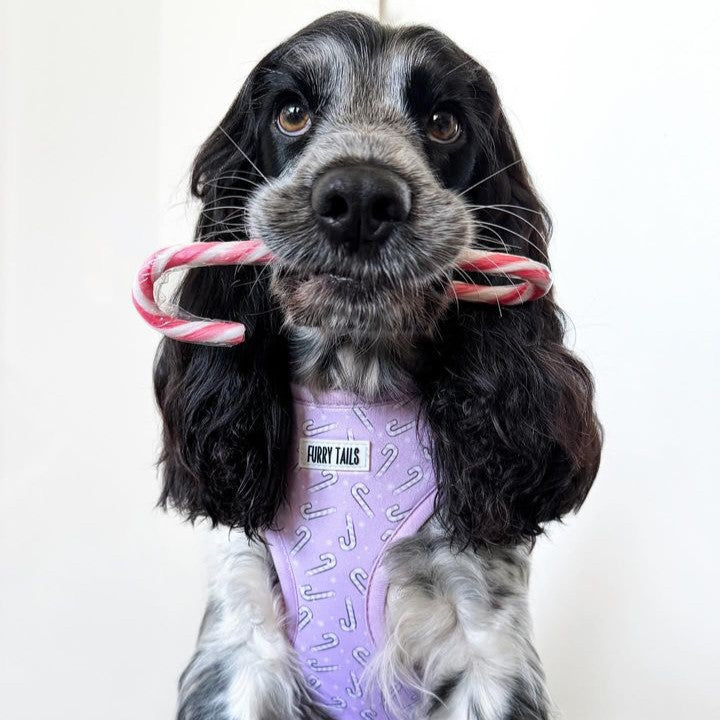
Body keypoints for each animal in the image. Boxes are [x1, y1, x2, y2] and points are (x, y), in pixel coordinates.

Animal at [156, 11, 600, 720]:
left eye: (445, 123)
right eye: (291, 113)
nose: (361, 197)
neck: (355, 379)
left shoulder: (492, 651)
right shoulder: (239, 644)